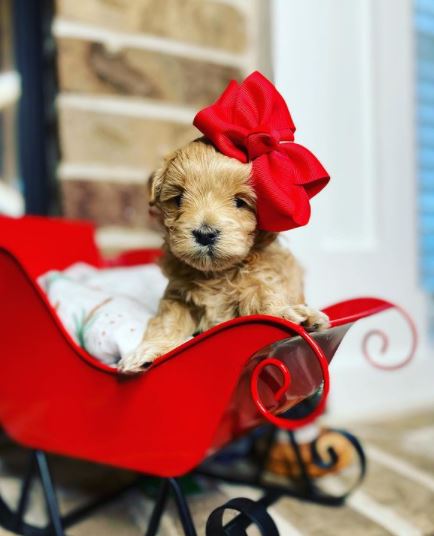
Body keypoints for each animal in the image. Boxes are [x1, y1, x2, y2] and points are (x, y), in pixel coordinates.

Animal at [118, 138, 328, 372]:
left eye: (240, 202)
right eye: (178, 199)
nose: (205, 234)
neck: (215, 274)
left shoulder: (260, 280)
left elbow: (264, 298)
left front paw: (291, 314)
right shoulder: (178, 296)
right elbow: (169, 320)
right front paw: (149, 349)